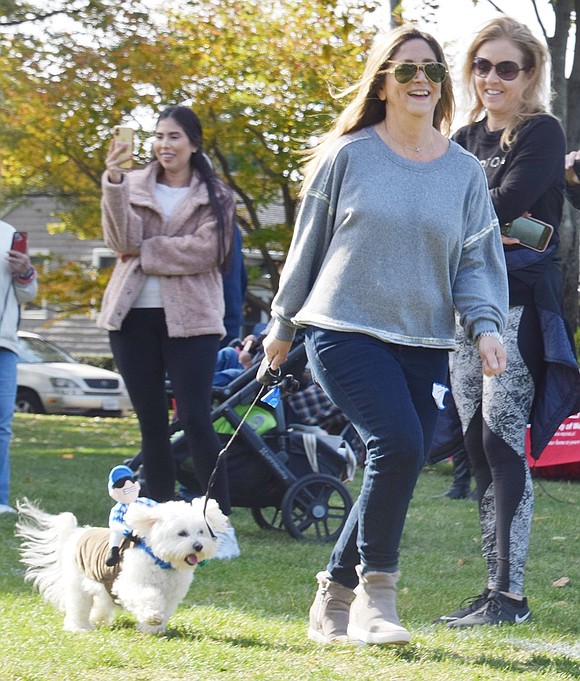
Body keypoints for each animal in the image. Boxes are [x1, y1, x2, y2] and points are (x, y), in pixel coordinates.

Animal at [15, 494, 229, 632]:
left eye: (201, 532)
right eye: (182, 533)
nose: (198, 546)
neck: (161, 561)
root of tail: (77, 532)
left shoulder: (171, 595)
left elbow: (165, 608)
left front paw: (151, 629)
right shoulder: (129, 584)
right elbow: (148, 597)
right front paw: (152, 616)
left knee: (100, 602)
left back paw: (98, 619)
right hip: (78, 584)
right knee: (79, 606)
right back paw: (81, 627)